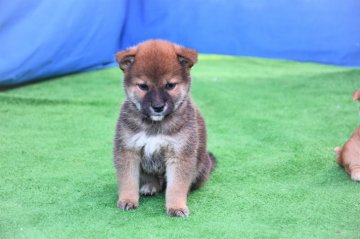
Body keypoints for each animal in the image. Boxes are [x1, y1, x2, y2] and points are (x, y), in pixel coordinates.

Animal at [113, 40, 214, 218]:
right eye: (143, 86)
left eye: (170, 85)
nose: (158, 107)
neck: (155, 125)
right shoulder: (128, 150)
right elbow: (128, 180)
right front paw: (127, 199)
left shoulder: (180, 154)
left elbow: (176, 186)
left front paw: (176, 206)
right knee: (153, 180)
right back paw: (150, 186)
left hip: (201, 166)